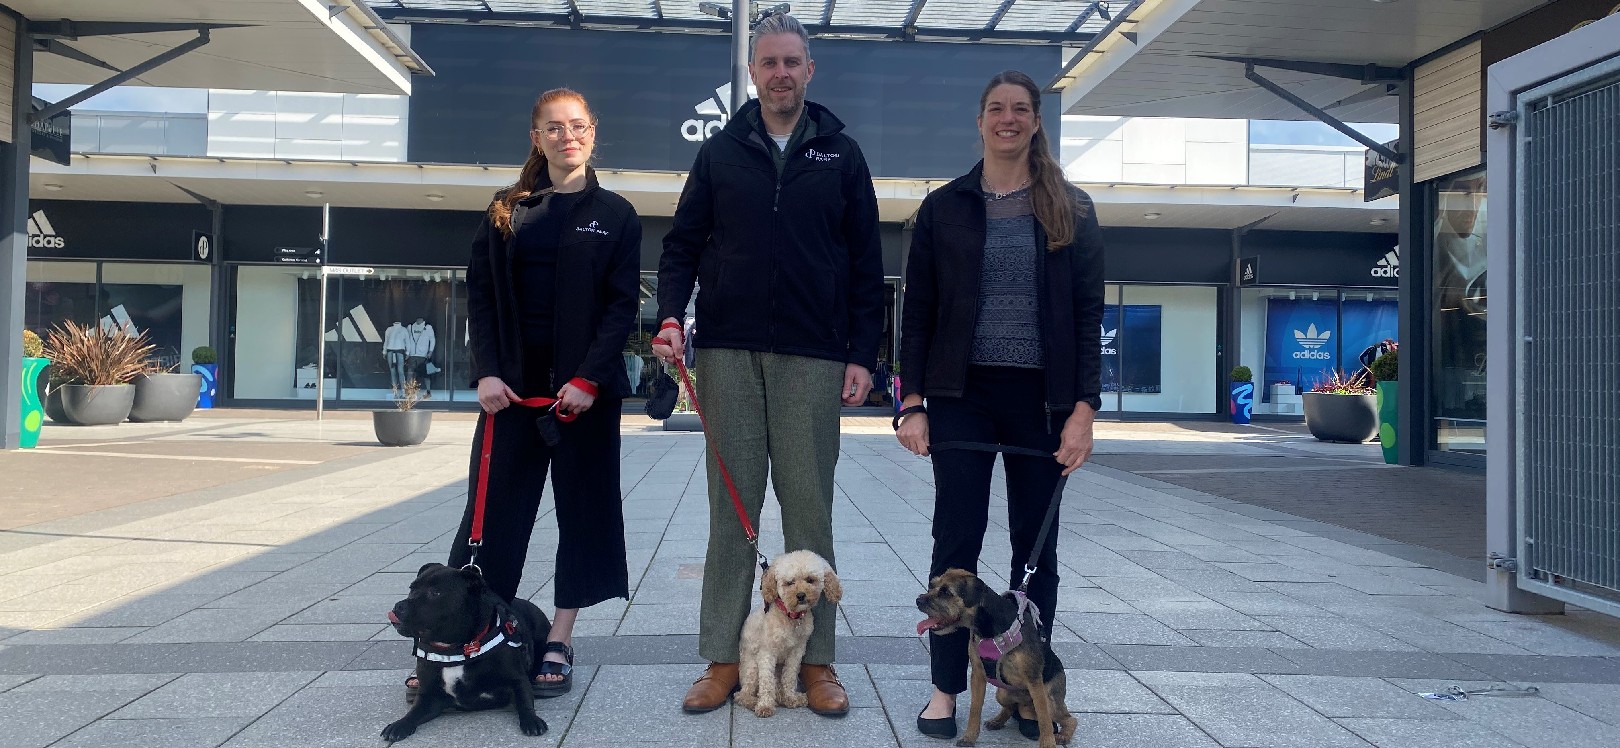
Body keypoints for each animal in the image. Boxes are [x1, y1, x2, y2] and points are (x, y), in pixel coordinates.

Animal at [382, 563, 554, 738]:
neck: (455, 648)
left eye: (436, 592)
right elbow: (414, 712)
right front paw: (400, 724)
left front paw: (531, 720)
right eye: (412, 589)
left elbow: (524, 699)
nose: (399, 606)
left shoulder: (517, 679)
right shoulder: (429, 696)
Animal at [913, 569, 1075, 744]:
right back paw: (997, 721)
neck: (989, 629)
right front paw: (969, 737)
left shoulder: (1034, 681)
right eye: (932, 585)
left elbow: (1045, 722)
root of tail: (1024, 703)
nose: (918, 600)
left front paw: (1048, 743)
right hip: (1002, 694)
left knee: (1069, 719)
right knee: (1011, 707)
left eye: (946, 592)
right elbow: (975, 709)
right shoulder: (978, 674)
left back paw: (1063, 736)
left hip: (1050, 700)